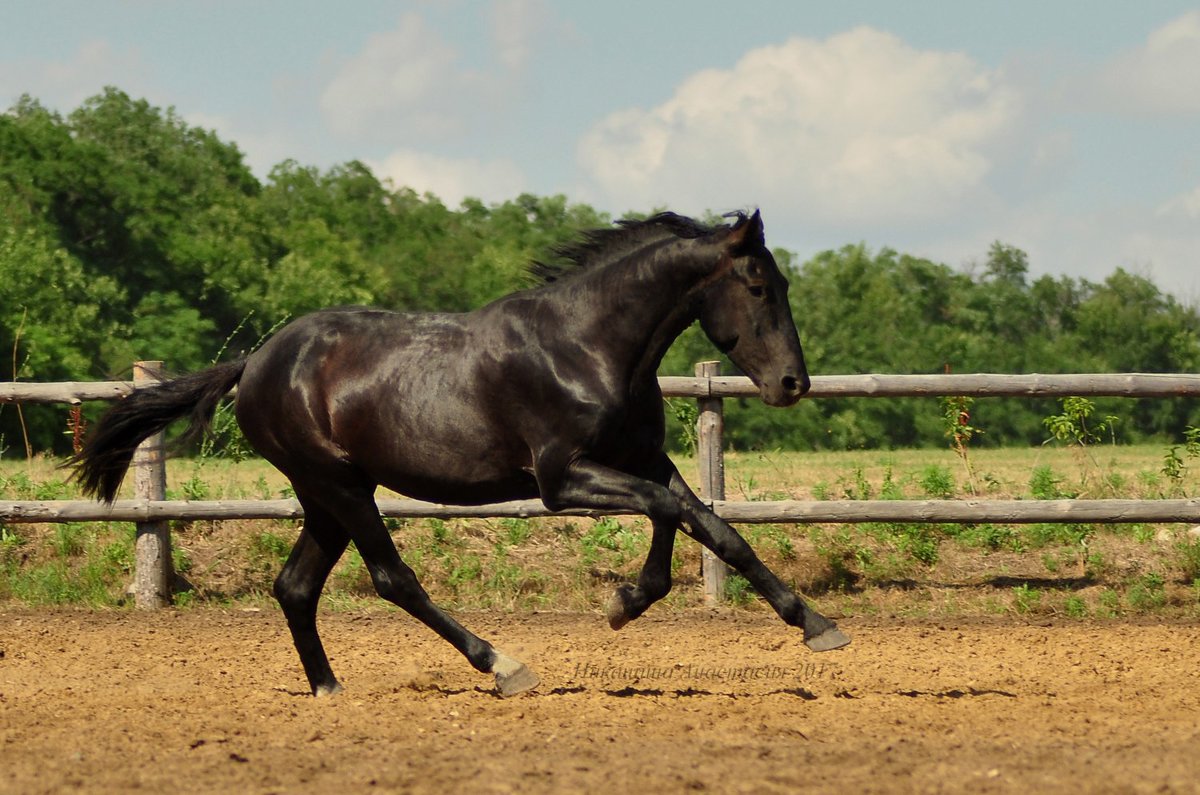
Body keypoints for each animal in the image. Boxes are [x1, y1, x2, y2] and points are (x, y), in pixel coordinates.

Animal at [70, 210, 849, 696]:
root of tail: (254, 363)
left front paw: (818, 626)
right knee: (393, 579)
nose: (793, 383)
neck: (588, 346)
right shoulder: (561, 478)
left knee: (294, 586)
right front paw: (623, 603)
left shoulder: (644, 458)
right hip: (339, 486)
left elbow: (713, 526)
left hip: (326, 495)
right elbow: (669, 512)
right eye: (757, 285)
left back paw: (328, 688)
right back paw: (503, 665)